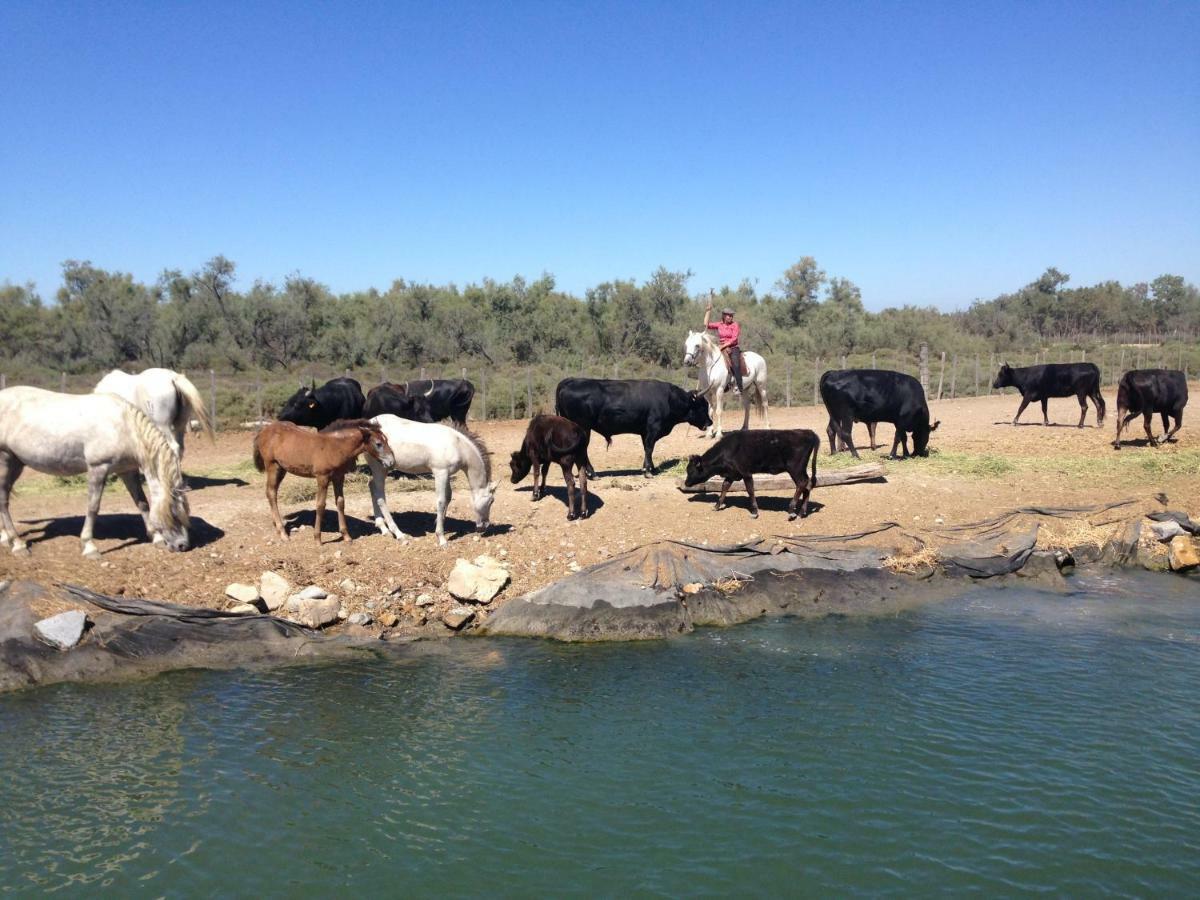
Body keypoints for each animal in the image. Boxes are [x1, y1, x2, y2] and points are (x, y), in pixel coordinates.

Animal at [252, 422, 393, 542]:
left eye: (387, 440)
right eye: (378, 443)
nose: (391, 461)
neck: (334, 447)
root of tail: (263, 430)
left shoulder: (338, 477)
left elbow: (340, 502)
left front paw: (346, 536)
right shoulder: (322, 477)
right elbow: (320, 505)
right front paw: (317, 538)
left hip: (282, 468)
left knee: (272, 492)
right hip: (272, 466)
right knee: (271, 493)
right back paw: (283, 534)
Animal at [364, 415, 496, 547]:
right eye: (491, 501)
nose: (484, 526)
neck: (457, 445)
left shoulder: (446, 474)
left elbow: (448, 497)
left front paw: (439, 522)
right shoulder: (440, 472)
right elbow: (441, 501)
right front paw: (441, 538)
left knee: (372, 487)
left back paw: (383, 528)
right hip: (379, 468)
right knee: (380, 497)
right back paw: (399, 534)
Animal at [554, 376, 710, 480]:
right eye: (702, 407)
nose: (710, 422)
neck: (669, 399)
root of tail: (569, 381)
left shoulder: (644, 432)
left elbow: (646, 449)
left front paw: (650, 468)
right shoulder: (653, 429)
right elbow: (649, 448)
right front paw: (648, 471)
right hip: (583, 428)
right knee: (583, 449)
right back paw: (592, 473)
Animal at [681, 429, 820, 520]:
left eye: (690, 470)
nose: (686, 482)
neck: (727, 450)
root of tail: (808, 432)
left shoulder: (746, 473)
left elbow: (750, 490)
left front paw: (754, 511)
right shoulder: (731, 474)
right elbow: (724, 487)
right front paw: (716, 506)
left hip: (795, 468)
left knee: (802, 484)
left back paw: (791, 510)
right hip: (801, 470)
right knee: (807, 484)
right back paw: (802, 512)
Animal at [686, 300, 768, 441]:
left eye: (697, 345)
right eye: (686, 344)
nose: (687, 361)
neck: (709, 366)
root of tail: (760, 357)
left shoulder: (719, 390)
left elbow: (719, 411)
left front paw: (719, 434)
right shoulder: (707, 392)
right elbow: (710, 411)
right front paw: (709, 434)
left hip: (761, 385)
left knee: (765, 403)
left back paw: (767, 427)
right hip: (744, 388)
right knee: (747, 406)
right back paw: (744, 428)